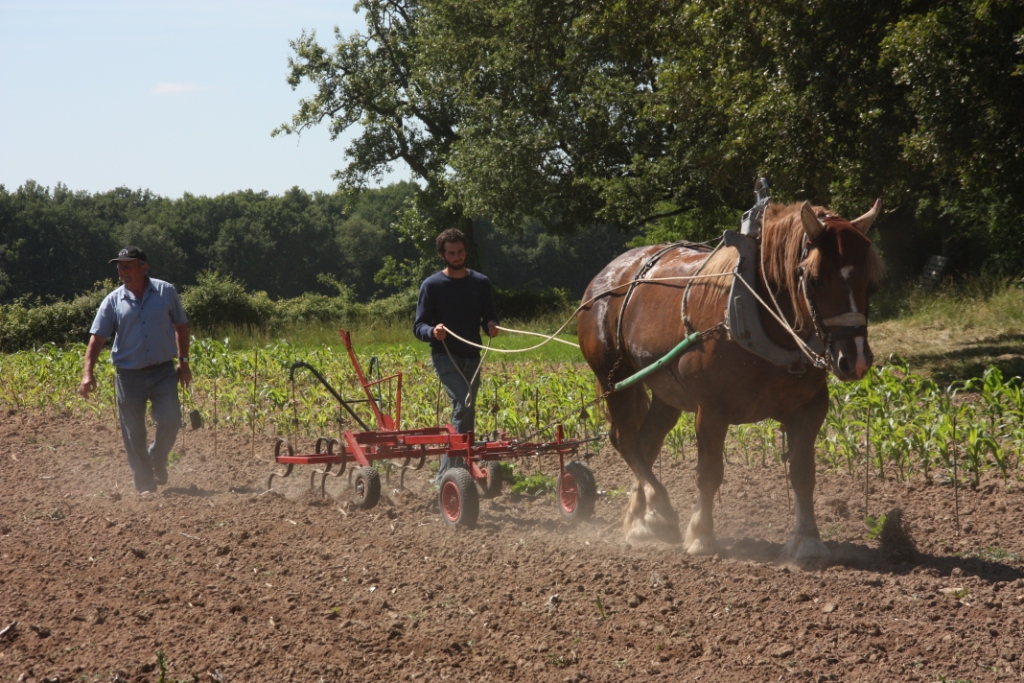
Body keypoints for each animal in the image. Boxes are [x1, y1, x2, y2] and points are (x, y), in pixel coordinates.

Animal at [581, 200, 884, 565]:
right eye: (815, 279)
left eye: (870, 283)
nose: (855, 360)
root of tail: (605, 276)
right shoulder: (711, 411)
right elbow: (709, 473)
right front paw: (702, 536)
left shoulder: (810, 409)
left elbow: (802, 474)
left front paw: (808, 541)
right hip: (615, 378)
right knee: (625, 439)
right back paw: (660, 507)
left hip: (665, 391)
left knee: (646, 442)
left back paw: (642, 519)